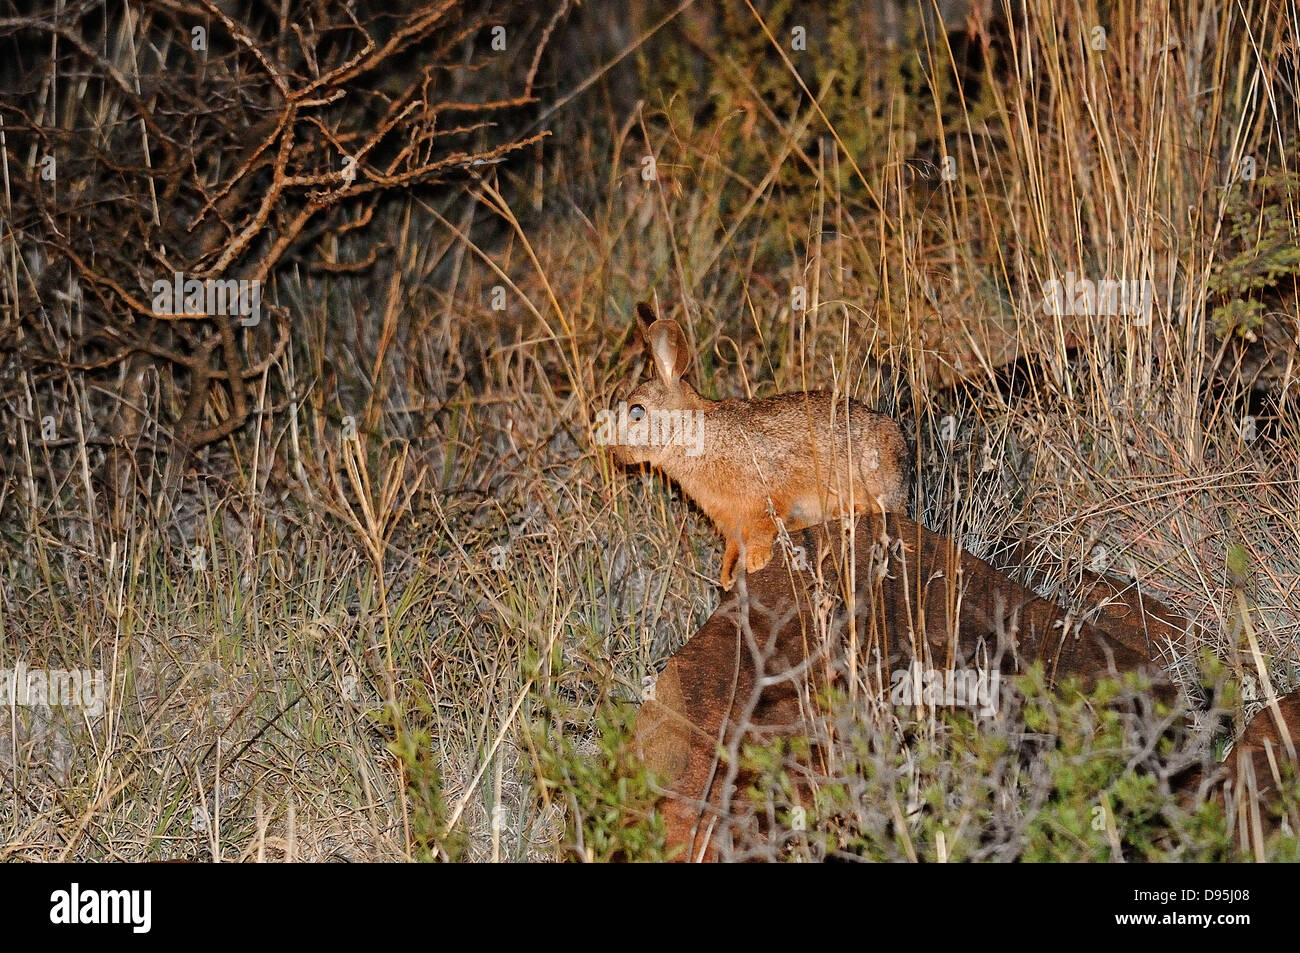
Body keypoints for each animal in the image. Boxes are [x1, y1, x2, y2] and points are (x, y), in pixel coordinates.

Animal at [603, 301, 909, 590]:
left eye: (637, 412)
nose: (614, 452)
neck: (690, 432)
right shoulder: (731, 523)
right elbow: (732, 546)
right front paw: (727, 575)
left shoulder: (767, 495)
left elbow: (765, 526)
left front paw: (756, 561)